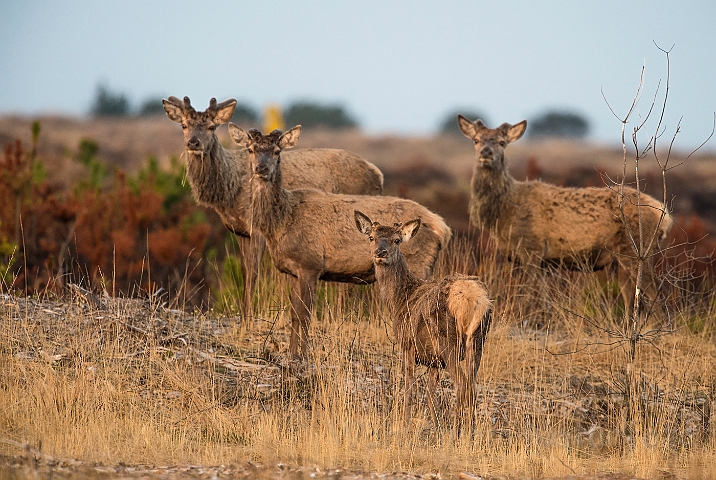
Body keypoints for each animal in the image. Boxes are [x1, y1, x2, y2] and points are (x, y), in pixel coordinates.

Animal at [163, 95, 386, 316]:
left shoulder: (257, 229)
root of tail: (378, 174)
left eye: (211, 126)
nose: (193, 142)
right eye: (184, 125)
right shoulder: (240, 231)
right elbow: (245, 273)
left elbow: (254, 273)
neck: (228, 192)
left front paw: (249, 313)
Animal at [228, 125, 454, 358]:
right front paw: (292, 353)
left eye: (277, 151)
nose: (261, 168)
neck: (281, 222)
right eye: (250, 149)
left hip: (420, 264)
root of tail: (443, 228)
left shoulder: (311, 265)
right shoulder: (293, 271)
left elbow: (305, 315)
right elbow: (294, 314)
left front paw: (304, 355)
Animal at [354, 210, 492, 428]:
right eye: (371, 237)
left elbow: (409, 389)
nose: (380, 253)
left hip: (448, 340)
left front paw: (404, 423)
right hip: (478, 341)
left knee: (462, 384)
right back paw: (469, 430)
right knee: (472, 385)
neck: (400, 299)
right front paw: (435, 426)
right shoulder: (434, 361)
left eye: (397, 240)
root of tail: (474, 299)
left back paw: (457, 429)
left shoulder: (407, 344)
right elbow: (430, 395)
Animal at [458, 114, 672, 314]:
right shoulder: (532, 260)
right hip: (622, 258)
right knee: (631, 300)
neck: (504, 212)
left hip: (637, 250)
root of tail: (665, 216)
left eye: (502, 142)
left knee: (656, 298)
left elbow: (531, 297)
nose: (486, 152)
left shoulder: (531, 249)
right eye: (476, 140)